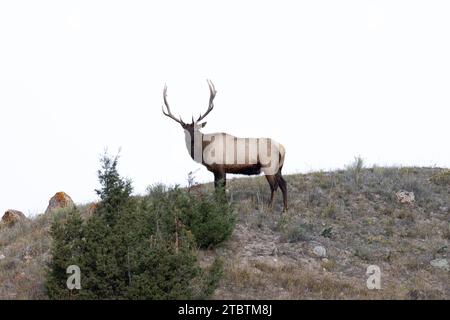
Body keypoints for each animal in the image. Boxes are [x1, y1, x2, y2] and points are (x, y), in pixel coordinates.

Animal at [162, 79, 288, 211]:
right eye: (184, 131)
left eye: (196, 129)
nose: (191, 140)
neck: (204, 149)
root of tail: (282, 148)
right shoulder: (217, 170)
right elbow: (218, 190)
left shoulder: (220, 168)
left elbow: (220, 190)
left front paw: (222, 207)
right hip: (279, 167)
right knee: (283, 184)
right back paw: (285, 209)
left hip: (269, 165)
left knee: (274, 185)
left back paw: (270, 207)